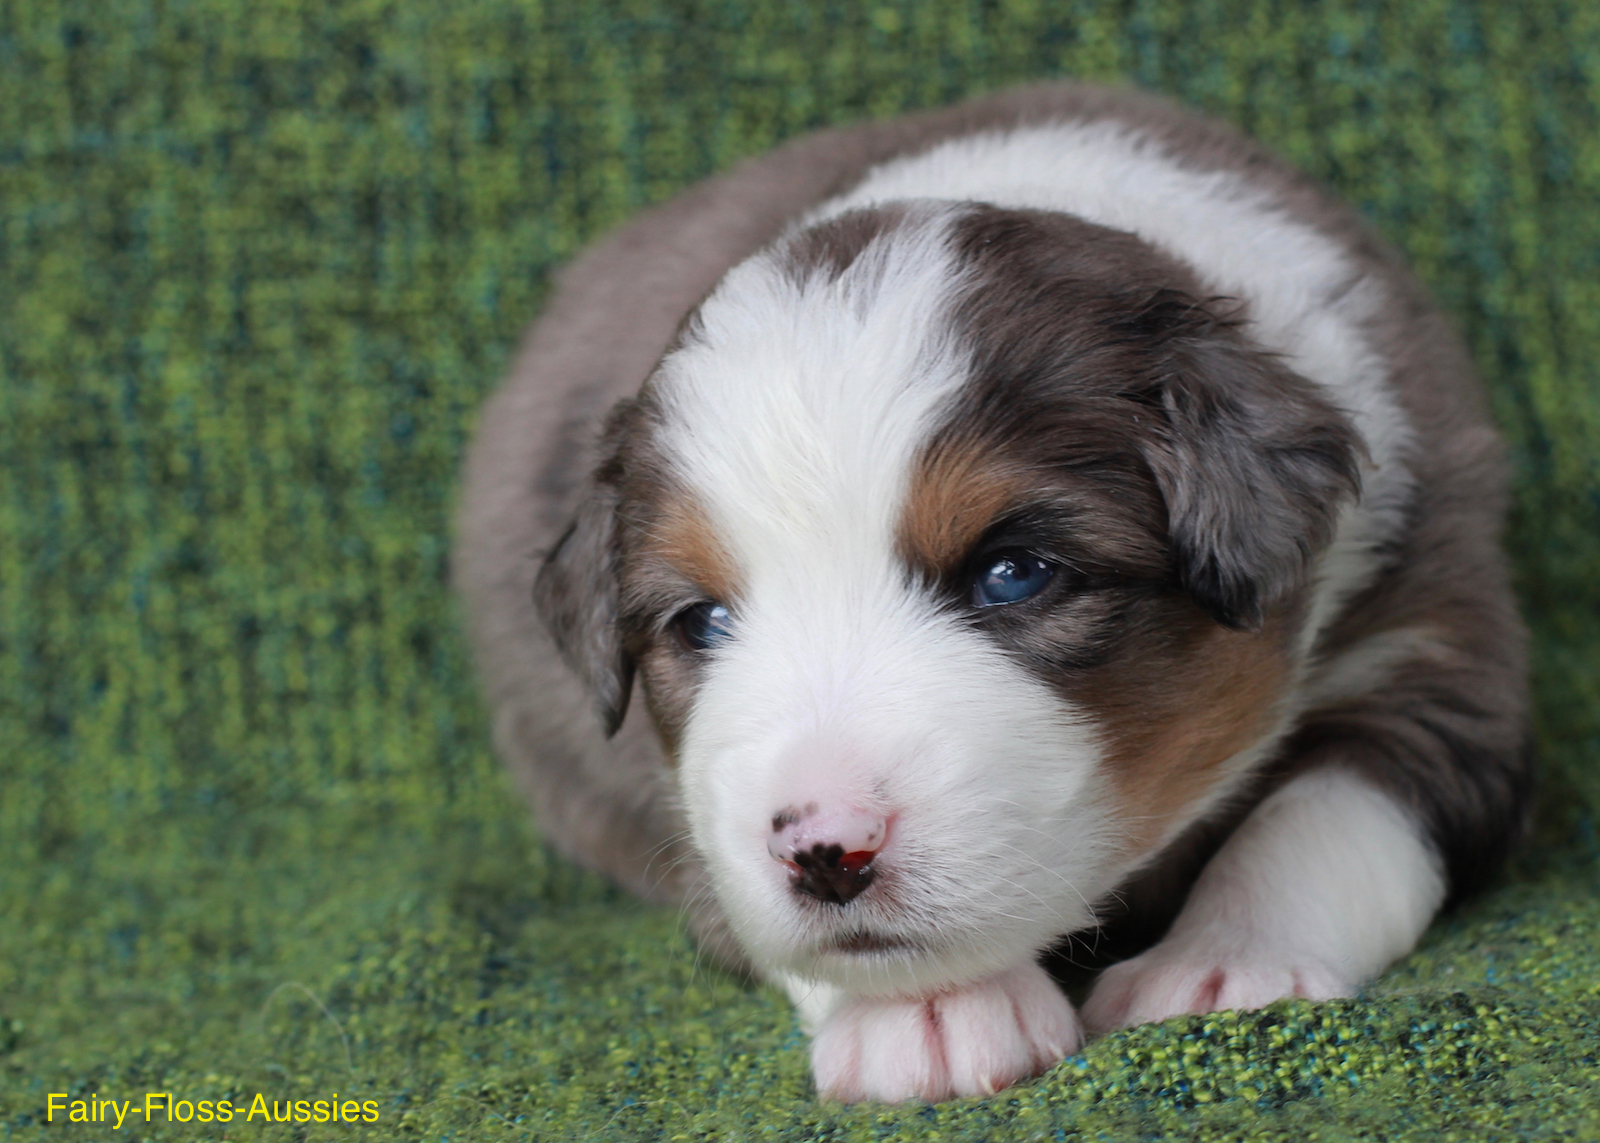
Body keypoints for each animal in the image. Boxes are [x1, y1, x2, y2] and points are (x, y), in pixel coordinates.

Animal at [457, 84, 1529, 1101]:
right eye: (703, 622)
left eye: (1013, 573)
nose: (826, 850)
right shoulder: (678, 806)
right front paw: (925, 1011)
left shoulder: (1439, 654)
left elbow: (1318, 817)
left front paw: (1227, 965)